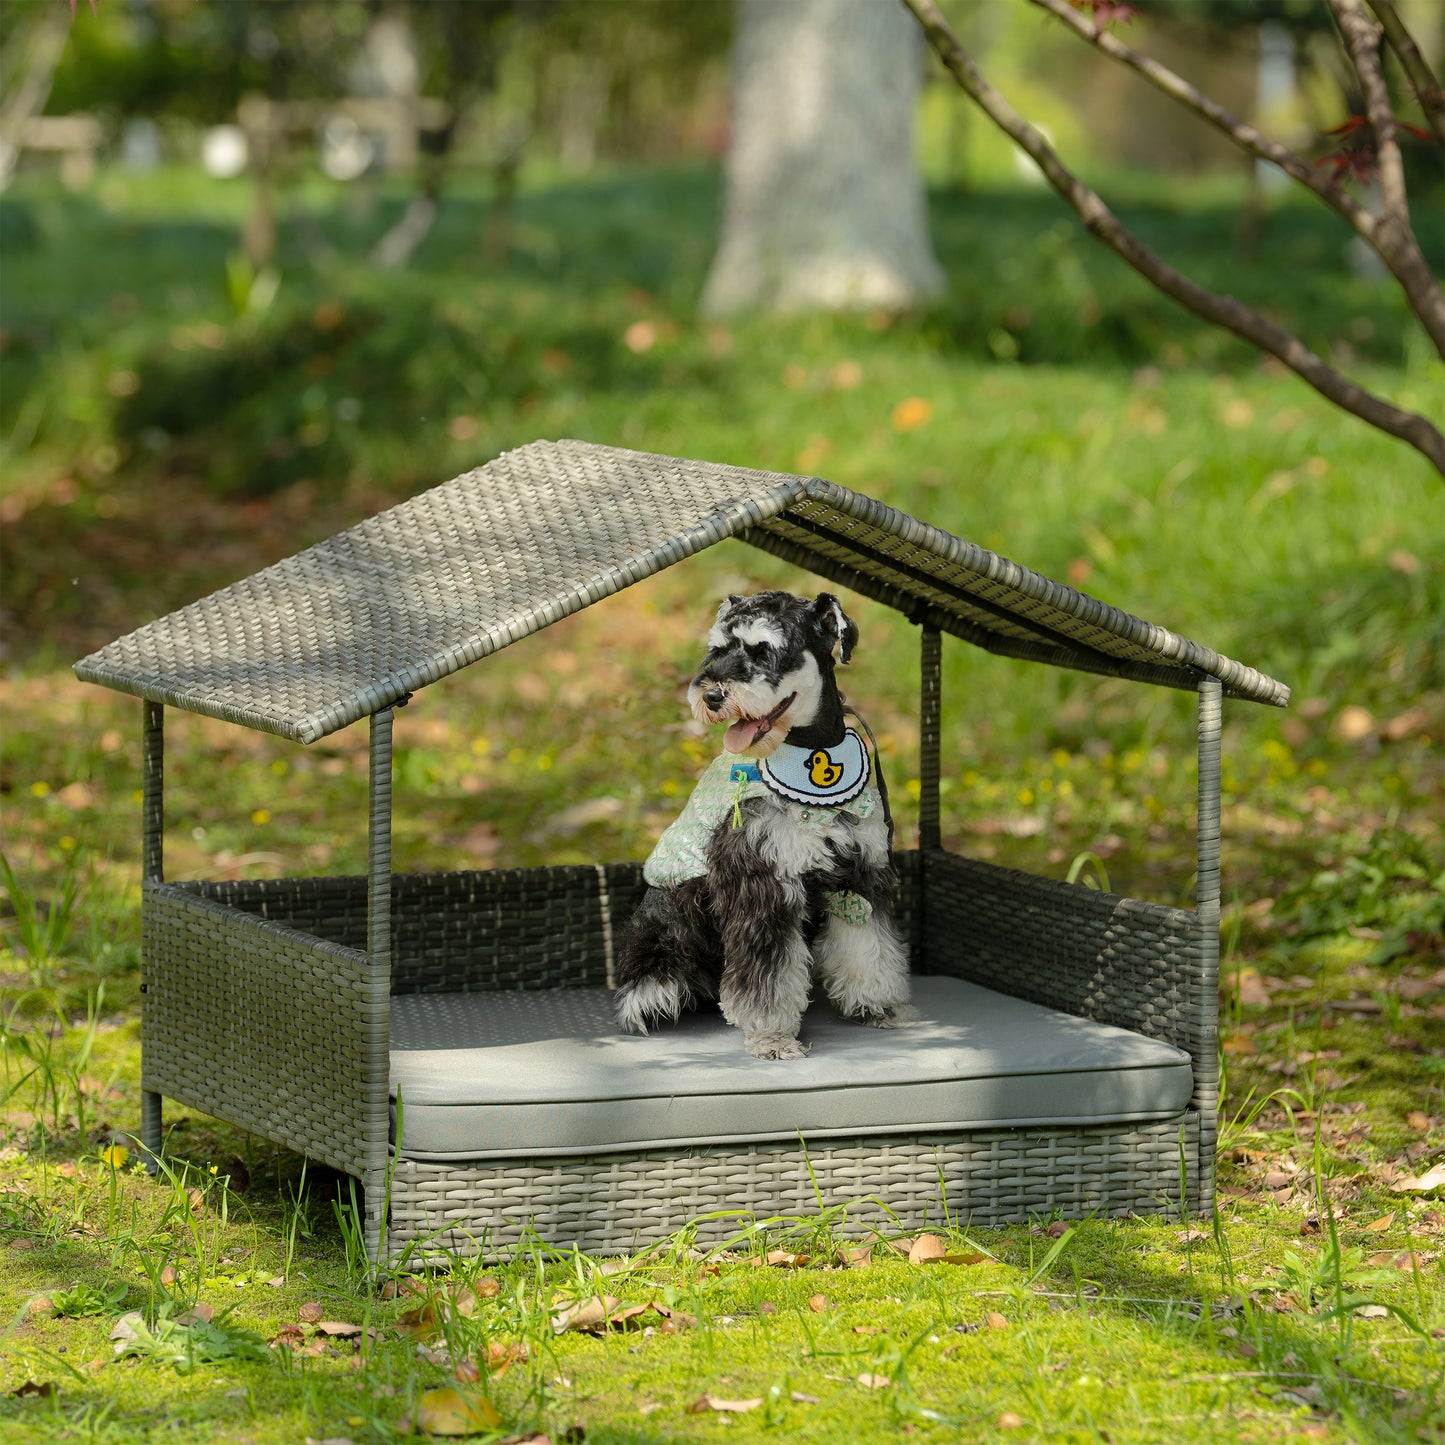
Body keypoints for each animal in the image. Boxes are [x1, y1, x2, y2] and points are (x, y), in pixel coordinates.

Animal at [612, 589, 907, 1063]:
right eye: (717, 650)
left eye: (763, 650)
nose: (712, 695)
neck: (808, 751)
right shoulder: (763, 884)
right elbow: (768, 975)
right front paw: (773, 1038)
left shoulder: (860, 874)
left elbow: (868, 946)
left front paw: (873, 1003)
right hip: (668, 926)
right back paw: (648, 1000)